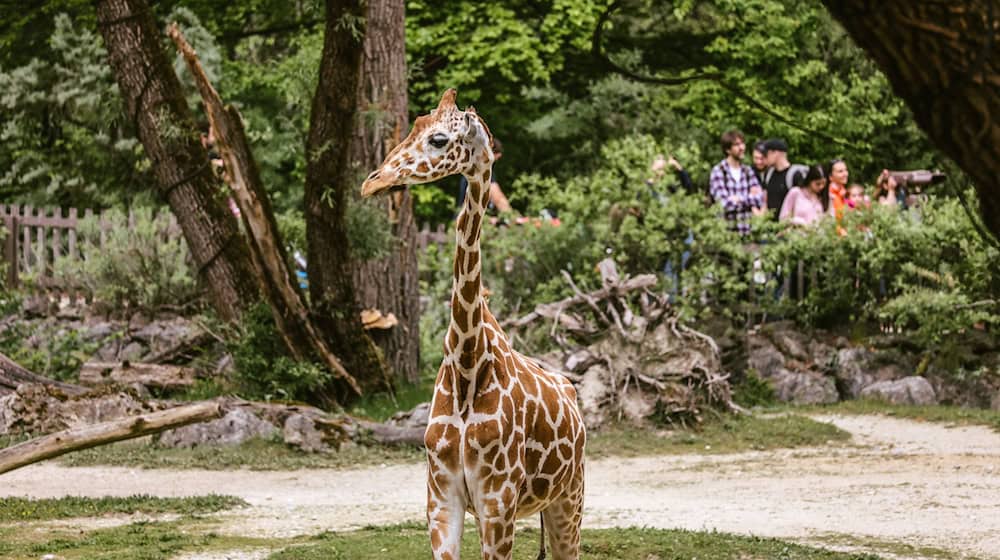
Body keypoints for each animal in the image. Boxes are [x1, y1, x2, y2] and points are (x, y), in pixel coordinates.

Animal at [362, 89, 584, 556]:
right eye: (416, 123)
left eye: (439, 139)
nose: (371, 182)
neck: (467, 364)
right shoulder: (440, 499)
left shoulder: (497, 503)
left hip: (569, 498)